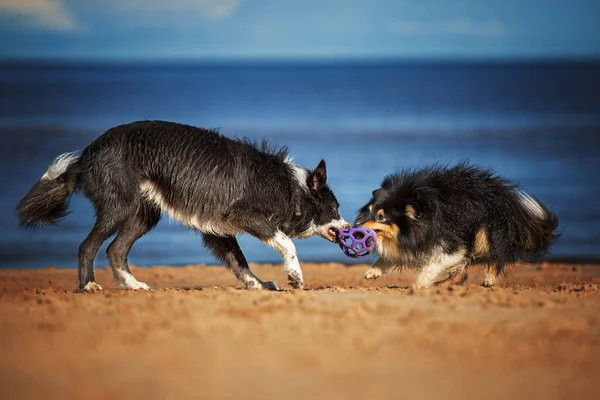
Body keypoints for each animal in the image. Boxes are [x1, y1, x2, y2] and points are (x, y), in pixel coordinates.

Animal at [17, 120, 352, 292]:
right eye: (335, 209)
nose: (350, 227)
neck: (292, 189)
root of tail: (86, 154)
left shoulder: (218, 231)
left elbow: (239, 261)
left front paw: (257, 284)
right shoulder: (244, 215)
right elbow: (286, 243)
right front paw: (295, 275)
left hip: (144, 214)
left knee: (115, 249)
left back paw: (133, 285)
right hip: (119, 206)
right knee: (88, 246)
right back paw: (88, 286)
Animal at [356, 164, 556, 290]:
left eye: (381, 216)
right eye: (369, 211)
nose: (356, 227)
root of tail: (508, 198)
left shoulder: (450, 241)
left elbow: (434, 262)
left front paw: (420, 283)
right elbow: (392, 254)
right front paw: (373, 271)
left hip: (486, 231)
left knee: (494, 256)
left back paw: (488, 280)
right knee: (461, 274)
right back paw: (442, 284)